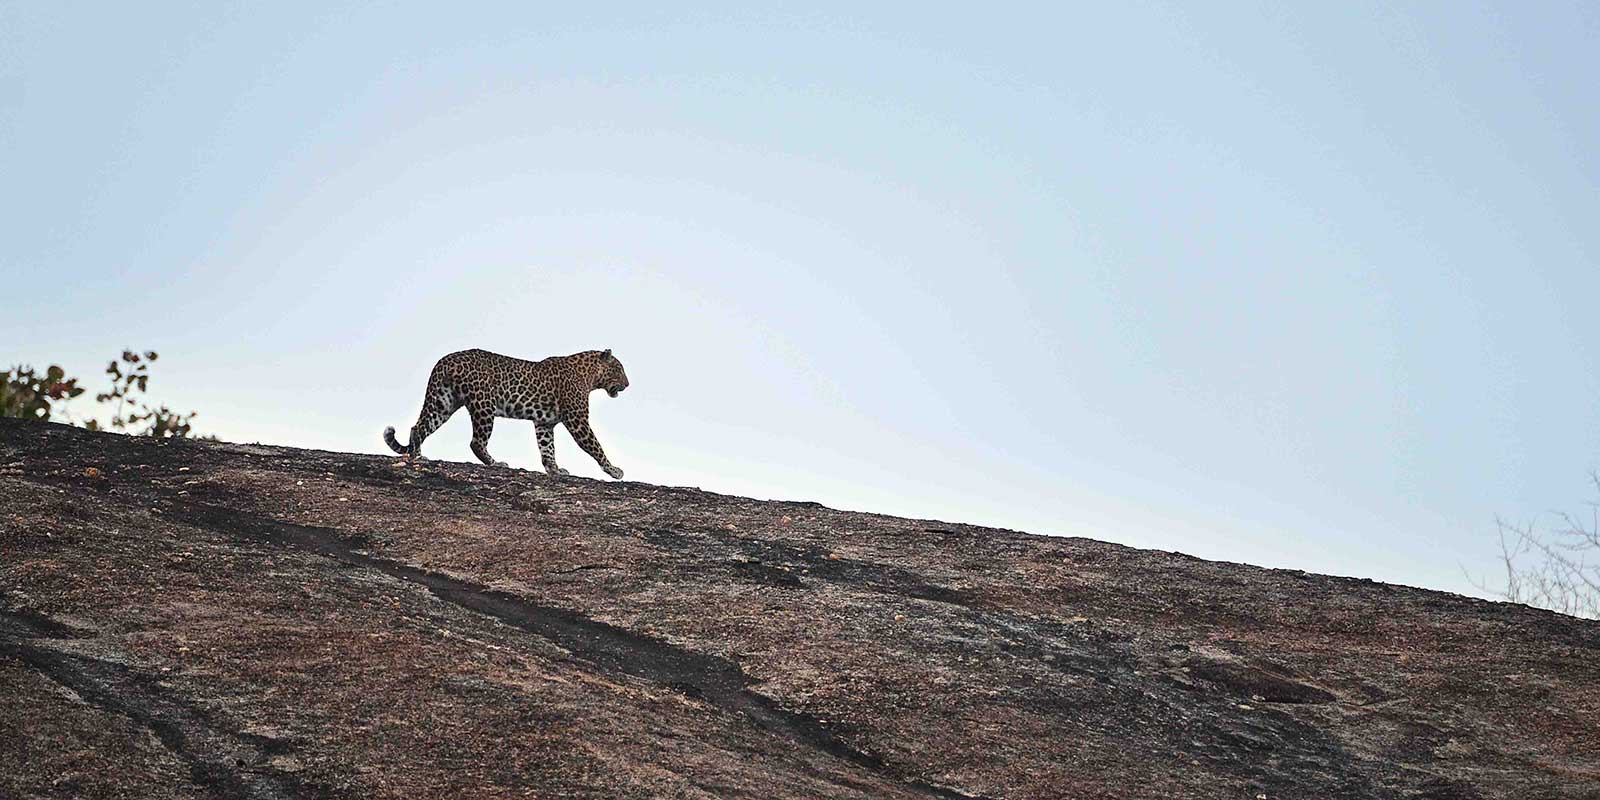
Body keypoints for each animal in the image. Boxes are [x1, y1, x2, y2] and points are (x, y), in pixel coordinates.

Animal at [383, 348, 629, 478]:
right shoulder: (578, 420)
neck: (590, 376)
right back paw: (496, 463)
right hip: (484, 406)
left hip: (443, 403)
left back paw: (417, 456)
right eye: (619, 369)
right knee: (476, 442)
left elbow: (547, 449)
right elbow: (595, 446)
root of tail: (445, 360)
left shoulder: (544, 423)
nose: (627, 385)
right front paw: (613, 470)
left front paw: (555, 470)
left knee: (418, 427)